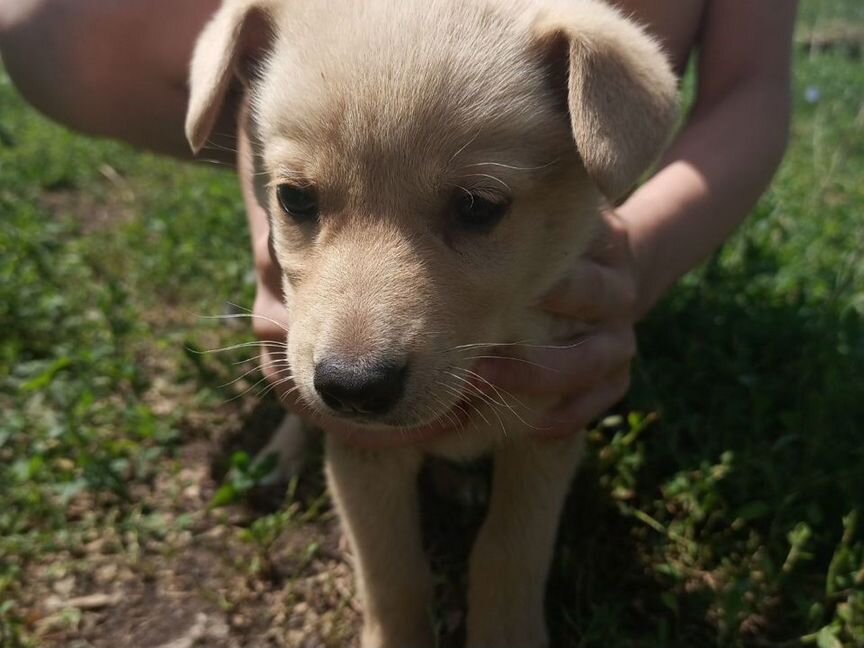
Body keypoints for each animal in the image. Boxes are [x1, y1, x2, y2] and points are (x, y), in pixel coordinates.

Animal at [186, 2, 680, 644]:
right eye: (293, 199)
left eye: (476, 206)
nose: (352, 388)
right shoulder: (362, 455)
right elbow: (391, 574)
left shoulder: (549, 429)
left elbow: (508, 556)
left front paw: (507, 632)